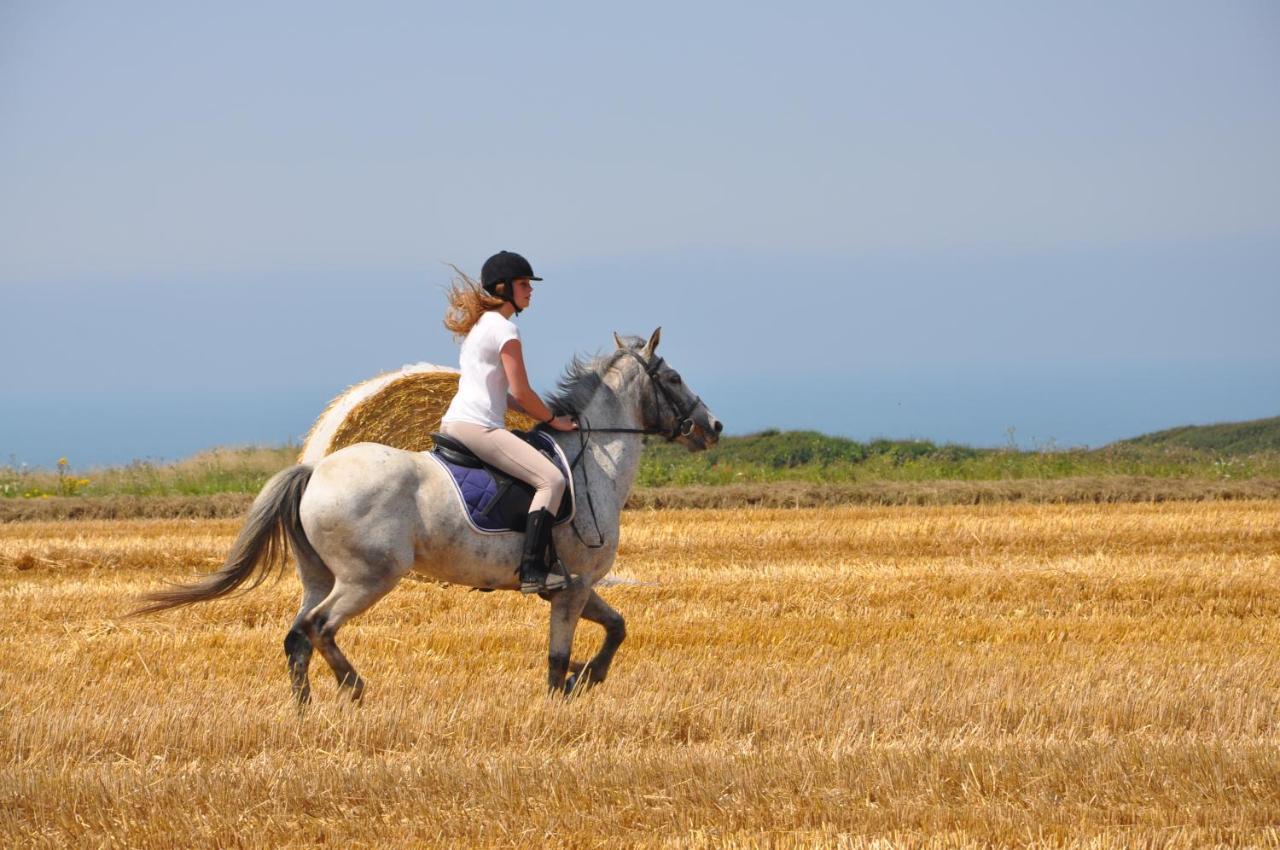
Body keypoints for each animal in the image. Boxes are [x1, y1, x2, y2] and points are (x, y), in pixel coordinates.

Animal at [135, 327, 727, 701]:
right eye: (674, 378)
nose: (713, 427)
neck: (594, 459)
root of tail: (316, 470)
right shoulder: (575, 583)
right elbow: (559, 658)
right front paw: (569, 693)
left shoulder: (574, 586)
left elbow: (618, 626)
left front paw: (590, 677)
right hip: (369, 577)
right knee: (320, 628)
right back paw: (354, 690)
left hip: (318, 576)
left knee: (297, 635)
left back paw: (305, 711)